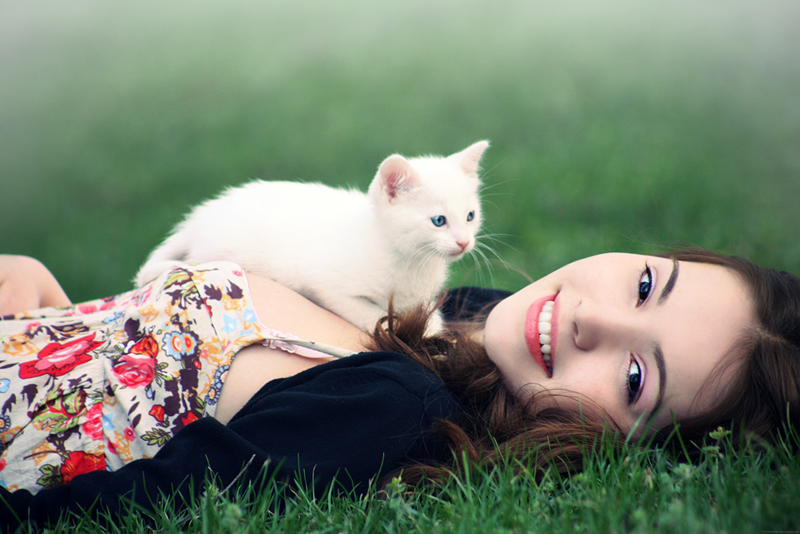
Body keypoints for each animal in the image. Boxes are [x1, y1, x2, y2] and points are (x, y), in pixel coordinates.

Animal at [135, 142, 490, 336]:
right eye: (439, 221)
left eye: (470, 216)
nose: (464, 243)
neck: (412, 261)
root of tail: (201, 217)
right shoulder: (324, 280)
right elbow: (369, 313)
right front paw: (403, 332)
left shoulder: (423, 297)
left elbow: (428, 314)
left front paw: (432, 330)